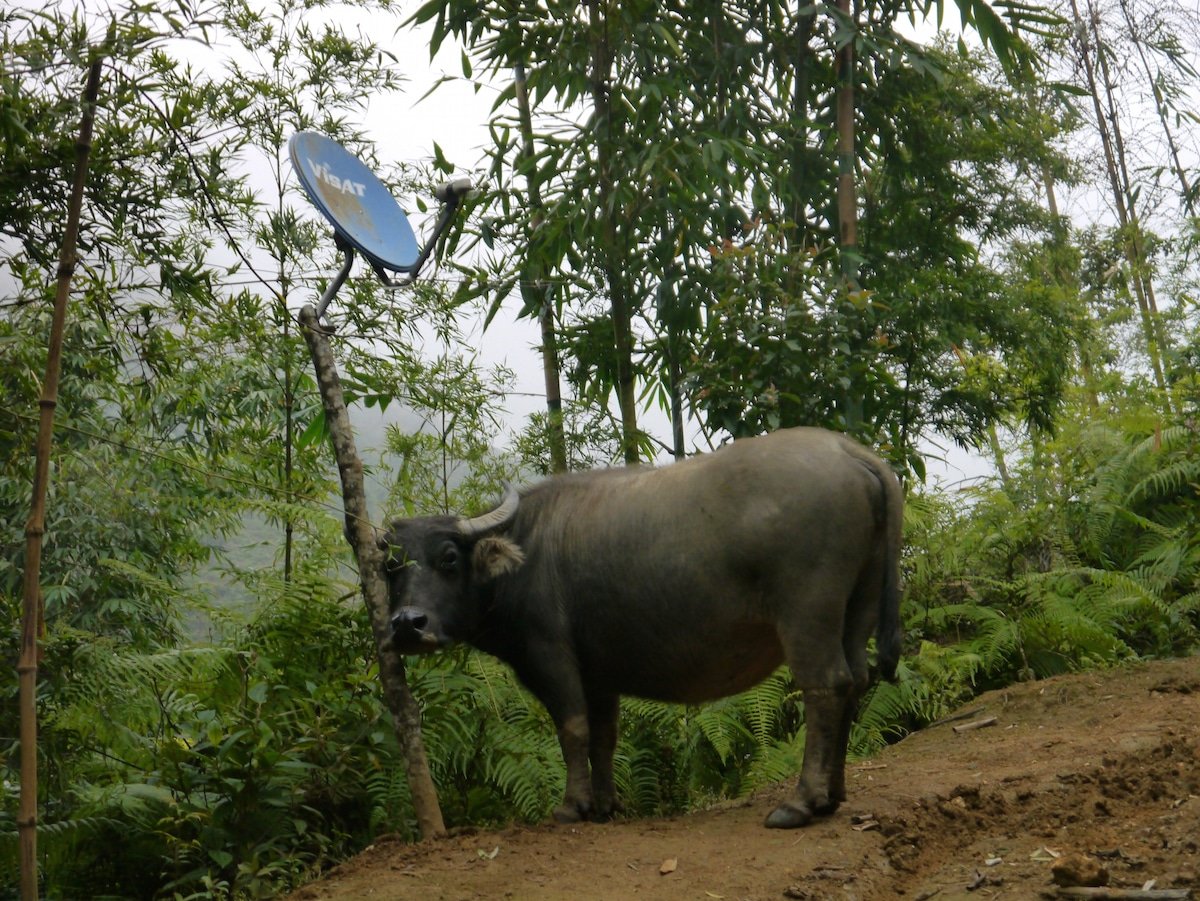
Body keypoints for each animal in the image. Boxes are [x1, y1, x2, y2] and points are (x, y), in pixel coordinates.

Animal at [381, 427, 902, 830]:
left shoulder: (550, 656)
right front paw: (605, 805)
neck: (523, 555)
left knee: (826, 686)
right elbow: (604, 734)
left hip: (806, 615)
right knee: (856, 681)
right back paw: (833, 794)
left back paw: (800, 802)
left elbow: (572, 728)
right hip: (858, 607)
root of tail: (849, 452)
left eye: (449, 558)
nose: (409, 624)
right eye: (390, 566)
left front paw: (572, 806)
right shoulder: (598, 673)